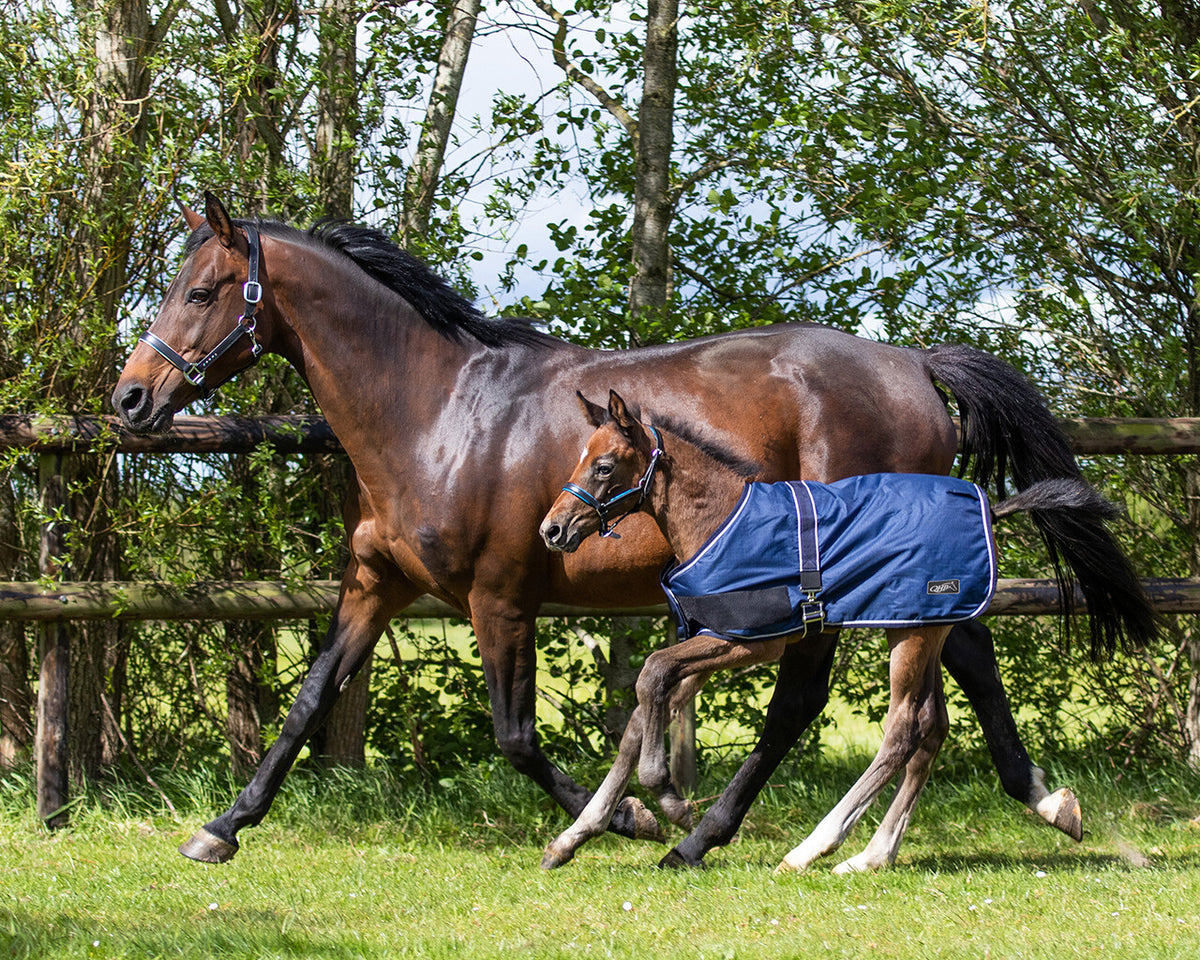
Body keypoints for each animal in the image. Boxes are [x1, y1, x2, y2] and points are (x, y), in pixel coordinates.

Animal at [538, 390, 1135, 872]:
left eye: (605, 466)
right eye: (582, 458)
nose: (553, 529)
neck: (719, 520)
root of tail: (990, 509)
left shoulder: (752, 642)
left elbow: (652, 675)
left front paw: (669, 798)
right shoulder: (710, 641)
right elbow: (646, 705)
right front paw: (576, 837)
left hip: (912, 636)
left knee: (904, 729)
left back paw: (813, 849)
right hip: (922, 627)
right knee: (932, 725)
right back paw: (873, 855)